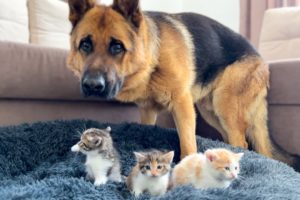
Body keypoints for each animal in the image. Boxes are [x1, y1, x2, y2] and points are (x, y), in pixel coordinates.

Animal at [67, 0, 298, 169]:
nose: (92, 86)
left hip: (224, 106)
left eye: (117, 47)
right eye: (85, 45)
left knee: (242, 142)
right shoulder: (148, 110)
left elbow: (187, 144)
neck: (154, 59)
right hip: (211, 112)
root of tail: (261, 59)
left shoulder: (182, 105)